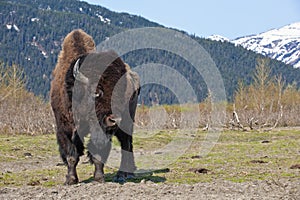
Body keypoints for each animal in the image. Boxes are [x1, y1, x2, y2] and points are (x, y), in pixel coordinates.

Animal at [50, 29, 141, 184]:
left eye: (122, 93)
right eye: (96, 92)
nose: (114, 120)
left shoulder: (102, 130)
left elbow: (98, 153)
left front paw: (99, 178)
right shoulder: (64, 128)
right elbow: (71, 155)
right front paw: (71, 180)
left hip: (127, 123)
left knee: (126, 144)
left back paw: (123, 174)